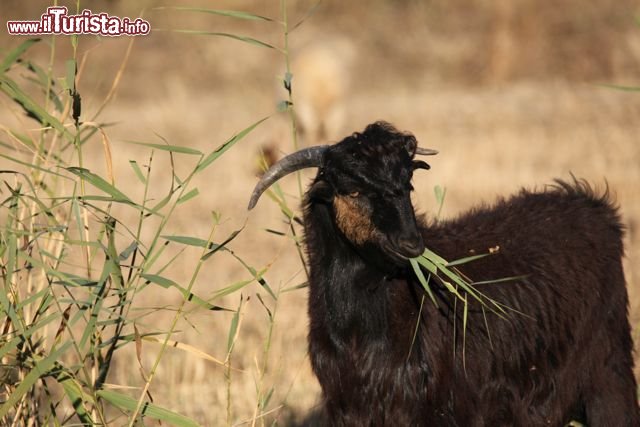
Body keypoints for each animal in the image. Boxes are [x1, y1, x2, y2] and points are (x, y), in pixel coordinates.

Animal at [248, 122, 636, 426]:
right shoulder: (349, 407)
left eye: (408, 184)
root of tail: (593, 205)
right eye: (352, 189)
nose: (410, 243)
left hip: (609, 368)